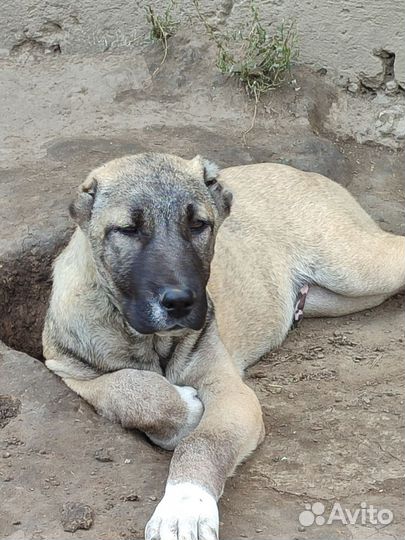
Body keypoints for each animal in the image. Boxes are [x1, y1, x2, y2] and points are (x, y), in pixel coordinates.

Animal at [42, 152, 402, 540]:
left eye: (198, 224)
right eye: (128, 229)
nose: (180, 302)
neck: (150, 340)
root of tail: (302, 172)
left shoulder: (232, 392)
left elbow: (204, 442)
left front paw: (184, 507)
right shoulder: (68, 369)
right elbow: (131, 389)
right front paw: (184, 409)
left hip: (353, 265)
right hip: (338, 295)